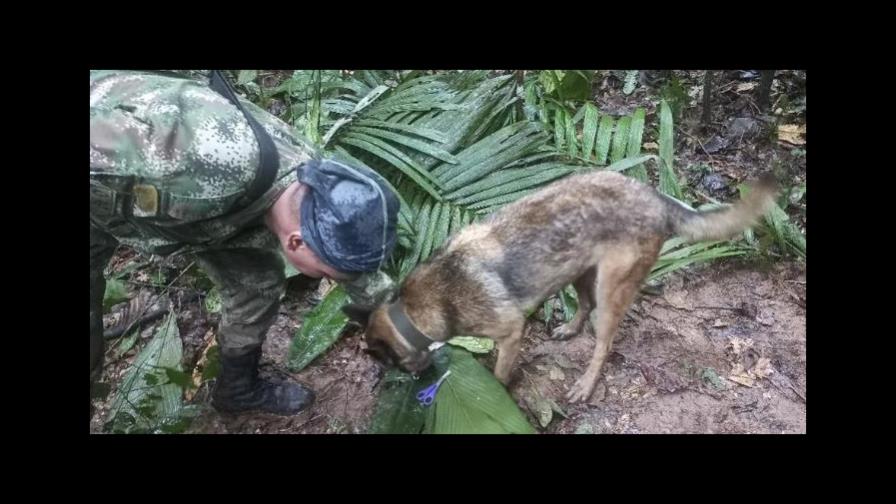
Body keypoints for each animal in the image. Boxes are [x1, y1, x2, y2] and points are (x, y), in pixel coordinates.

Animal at [344, 169, 776, 402]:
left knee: (603, 342)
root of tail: (656, 197)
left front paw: (499, 389)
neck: (415, 309)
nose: (412, 382)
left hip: (610, 289)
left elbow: (499, 373)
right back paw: (569, 328)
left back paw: (585, 383)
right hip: (580, 271)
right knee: (583, 306)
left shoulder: (510, 332)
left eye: (387, 362)